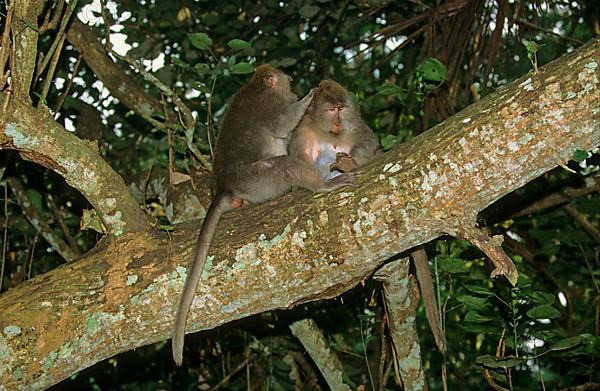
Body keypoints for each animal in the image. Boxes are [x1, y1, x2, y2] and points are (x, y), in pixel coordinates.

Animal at [171, 64, 354, 368]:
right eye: (287, 81)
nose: (292, 81)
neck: (255, 85)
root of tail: (225, 186)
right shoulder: (272, 104)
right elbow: (283, 123)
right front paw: (308, 96)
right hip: (258, 180)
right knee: (284, 166)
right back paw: (320, 185)